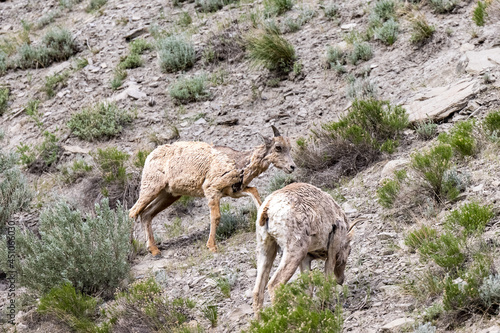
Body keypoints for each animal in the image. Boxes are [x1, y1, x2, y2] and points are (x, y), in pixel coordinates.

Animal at [130, 126, 296, 255]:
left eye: (290, 147)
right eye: (278, 147)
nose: (292, 167)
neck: (237, 163)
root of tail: (149, 157)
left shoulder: (234, 192)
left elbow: (255, 195)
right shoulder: (211, 190)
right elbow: (215, 217)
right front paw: (212, 246)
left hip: (168, 195)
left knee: (146, 214)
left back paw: (154, 250)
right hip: (151, 188)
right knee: (133, 212)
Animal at [254, 183, 360, 316]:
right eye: (349, 250)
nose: (340, 280)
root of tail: (268, 208)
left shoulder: (306, 259)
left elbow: (308, 288)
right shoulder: (332, 249)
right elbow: (327, 277)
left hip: (266, 249)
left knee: (257, 292)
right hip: (294, 251)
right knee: (274, 284)